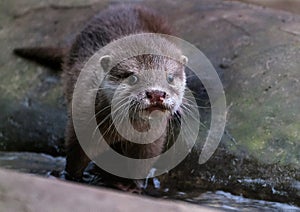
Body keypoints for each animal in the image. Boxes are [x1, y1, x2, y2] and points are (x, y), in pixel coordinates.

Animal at [14, 4, 190, 190]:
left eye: (169, 77)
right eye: (133, 78)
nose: (156, 93)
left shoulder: (152, 139)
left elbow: (142, 164)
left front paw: (135, 187)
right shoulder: (83, 120)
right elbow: (75, 158)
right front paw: (69, 179)